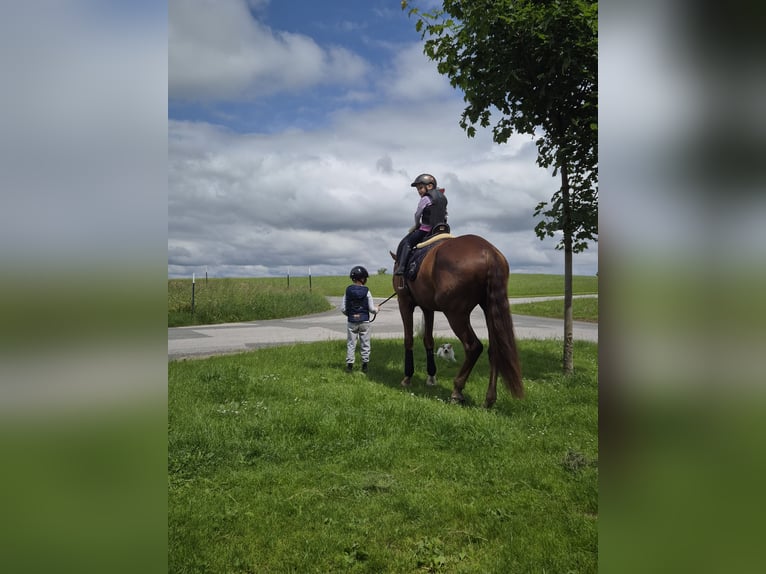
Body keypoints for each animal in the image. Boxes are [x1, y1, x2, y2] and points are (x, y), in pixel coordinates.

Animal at [392, 235, 524, 410]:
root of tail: (488, 251)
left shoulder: (404, 302)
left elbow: (408, 340)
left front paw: (407, 377)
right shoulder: (428, 308)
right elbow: (428, 340)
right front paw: (431, 377)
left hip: (456, 314)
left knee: (474, 347)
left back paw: (457, 391)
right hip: (489, 309)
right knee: (495, 350)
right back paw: (489, 399)